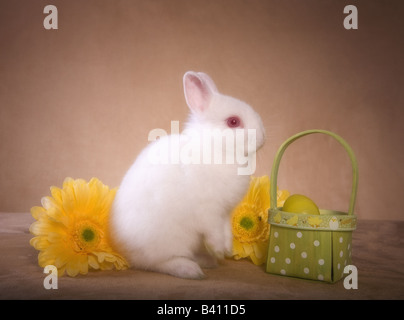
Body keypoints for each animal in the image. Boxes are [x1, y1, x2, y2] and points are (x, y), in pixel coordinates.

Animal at [110, 71, 266, 278]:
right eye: (233, 121)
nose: (263, 137)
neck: (216, 149)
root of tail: (127, 254)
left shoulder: (225, 213)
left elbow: (226, 231)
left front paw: (227, 250)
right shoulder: (208, 212)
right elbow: (214, 233)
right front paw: (219, 251)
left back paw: (207, 261)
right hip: (171, 240)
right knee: (158, 262)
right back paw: (191, 270)